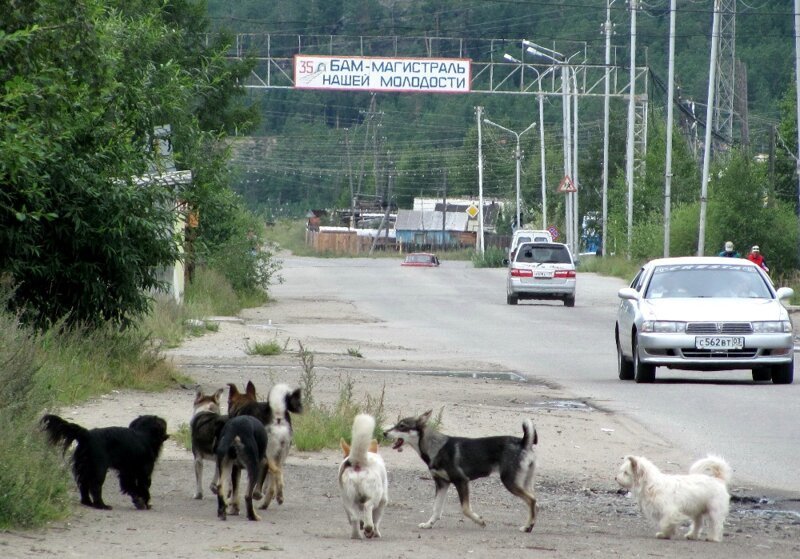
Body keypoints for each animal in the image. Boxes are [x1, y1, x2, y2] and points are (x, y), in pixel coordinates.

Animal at [40, 414, 169, 510]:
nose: (167, 435)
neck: (144, 433)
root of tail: (87, 435)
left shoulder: (127, 473)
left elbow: (130, 486)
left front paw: (138, 500)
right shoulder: (145, 472)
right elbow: (144, 488)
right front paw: (145, 503)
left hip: (84, 467)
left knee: (83, 485)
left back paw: (87, 502)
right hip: (99, 470)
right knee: (95, 488)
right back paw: (102, 505)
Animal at [386, 412, 540, 532]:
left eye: (402, 426)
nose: (384, 432)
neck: (436, 447)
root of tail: (523, 443)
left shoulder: (461, 481)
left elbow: (465, 509)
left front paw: (480, 521)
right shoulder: (442, 484)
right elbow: (436, 508)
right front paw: (429, 524)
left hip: (510, 482)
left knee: (532, 500)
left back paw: (527, 527)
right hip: (524, 483)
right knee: (534, 503)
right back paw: (530, 525)